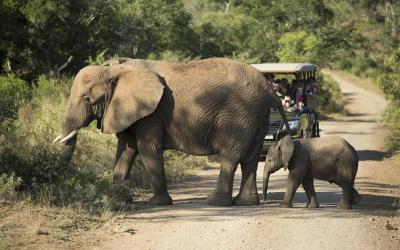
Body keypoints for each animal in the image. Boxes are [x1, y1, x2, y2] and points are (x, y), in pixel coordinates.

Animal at [54, 57, 290, 206]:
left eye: (87, 99)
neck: (115, 69)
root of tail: (269, 88)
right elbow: (126, 149)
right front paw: (118, 198)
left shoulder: (152, 112)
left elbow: (147, 148)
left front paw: (158, 204)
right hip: (257, 116)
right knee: (250, 160)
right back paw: (246, 203)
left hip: (240, 114)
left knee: (231, 157)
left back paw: (216, 203)